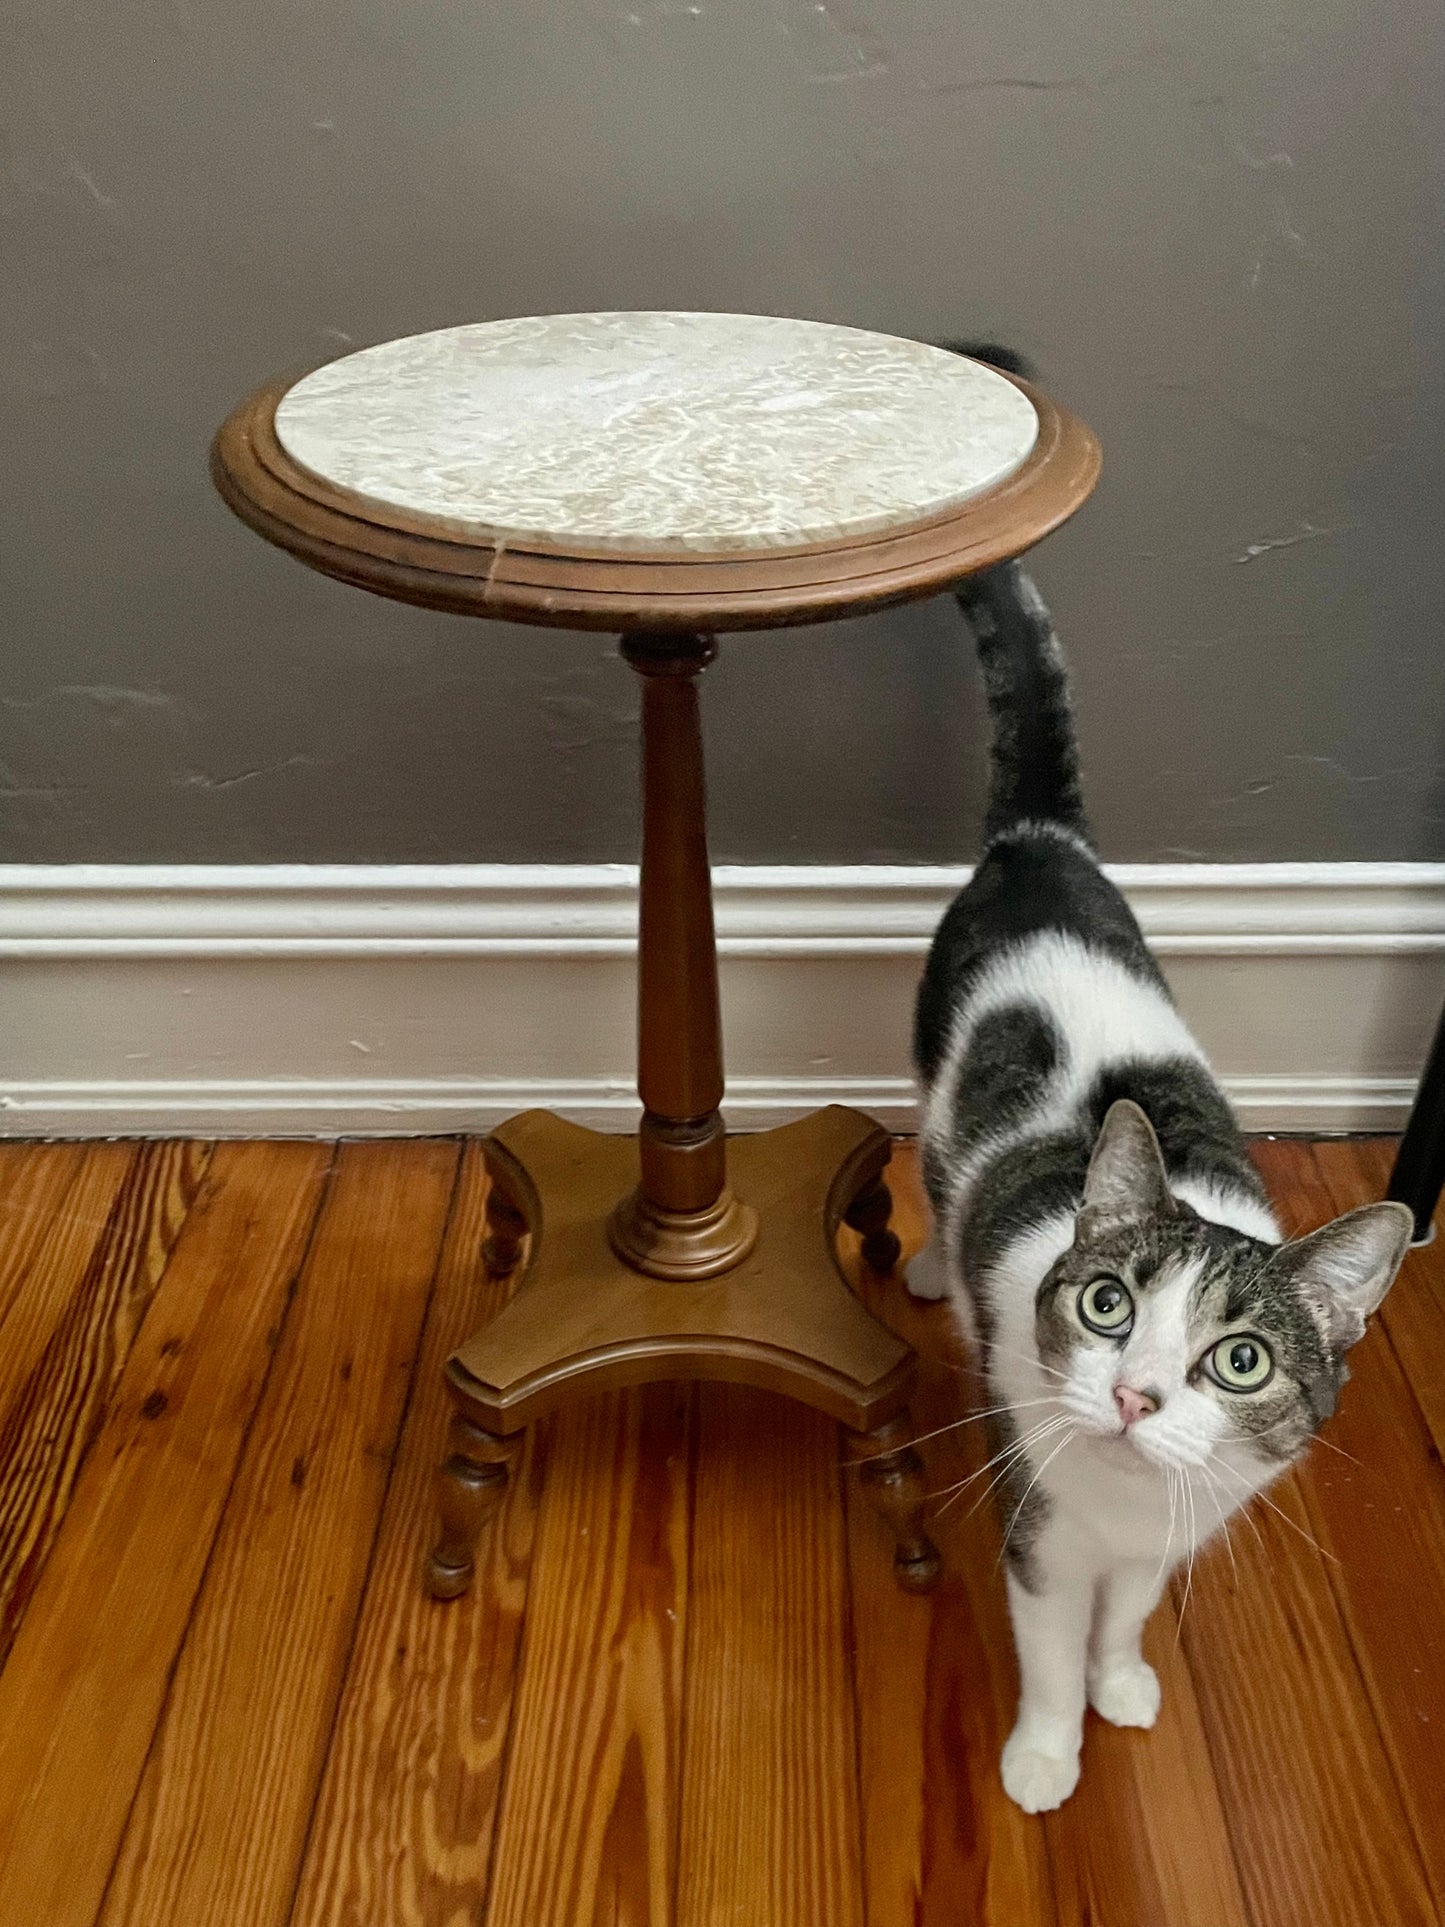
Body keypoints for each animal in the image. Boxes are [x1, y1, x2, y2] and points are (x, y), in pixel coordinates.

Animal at [909, 543, 1418, 1803]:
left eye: (1239, 1360)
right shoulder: (1037, 1525)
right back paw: (930, 1264)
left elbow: (1124, 1615)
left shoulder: (1171, 1525)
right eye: (1106, 1304)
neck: (1126, 1499)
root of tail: (1039, 840)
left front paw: (1123, 1683)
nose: (1135, 1395)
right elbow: (1047, 1647)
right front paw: (1044, 1757)